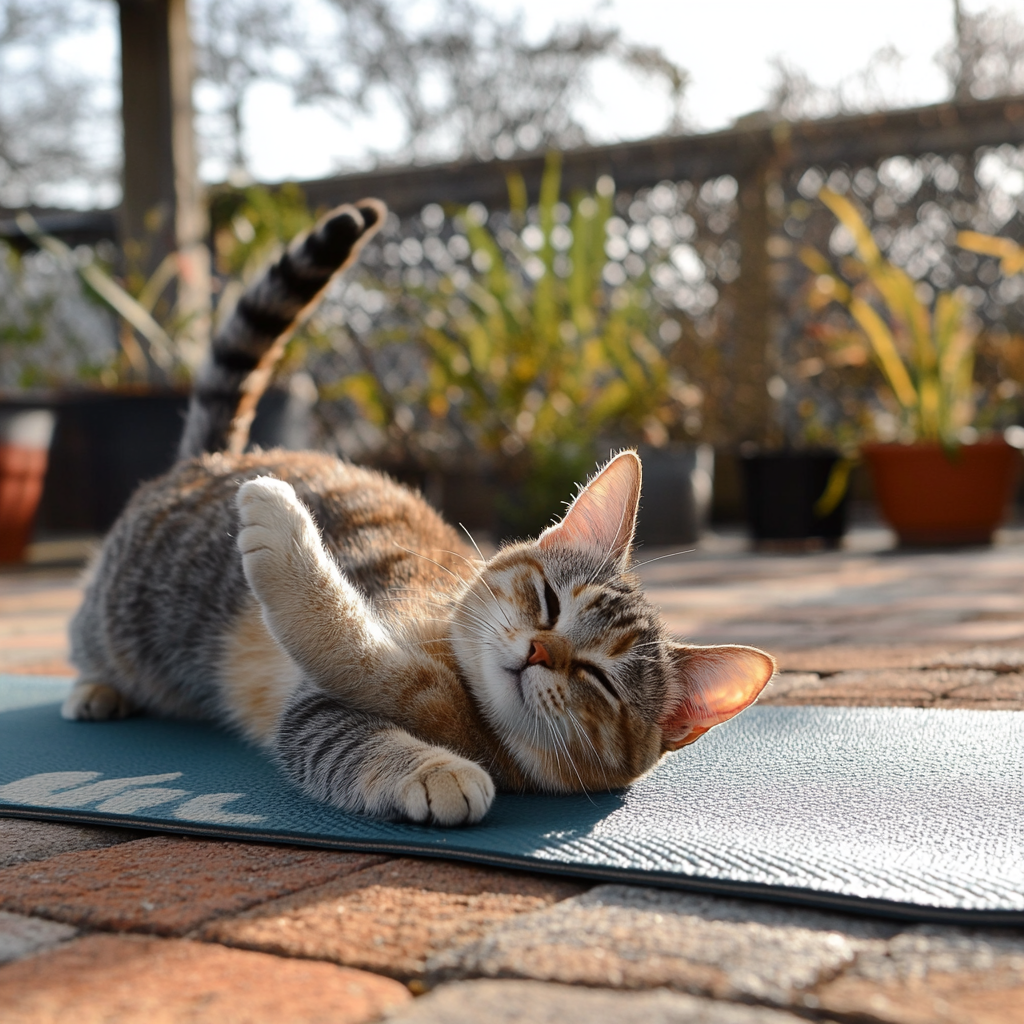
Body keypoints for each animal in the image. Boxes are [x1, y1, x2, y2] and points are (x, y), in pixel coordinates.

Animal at [66, 197, 774, 823]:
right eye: (548, 601)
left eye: (600, 680)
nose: (539, 650)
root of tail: (212, 454)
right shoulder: (329, 694)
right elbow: (358, 648)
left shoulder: (351, 703)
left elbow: (371, 669)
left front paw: (436, 769)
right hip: (121, 614)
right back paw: (97, 687)